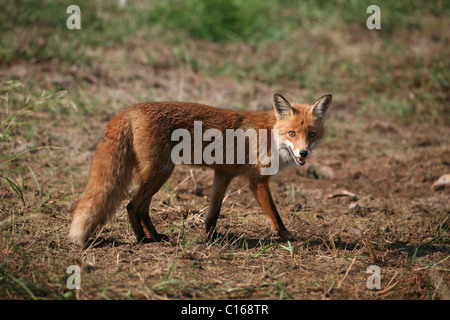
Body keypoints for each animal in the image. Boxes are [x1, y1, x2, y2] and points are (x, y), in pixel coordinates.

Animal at [69, 94, 330, 246]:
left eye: (311, 134)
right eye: (292, 133)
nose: (303, 154)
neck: (270, 134)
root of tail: (133, 108)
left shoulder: (224, 174)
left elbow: (212, 214)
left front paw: (212, 239)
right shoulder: (256, 181)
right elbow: (276, 216)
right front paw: (288, 237)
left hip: (156, 175)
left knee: (142, 208)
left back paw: (156, 236)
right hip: (161, 173)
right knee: (132, 206)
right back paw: (142, 240)